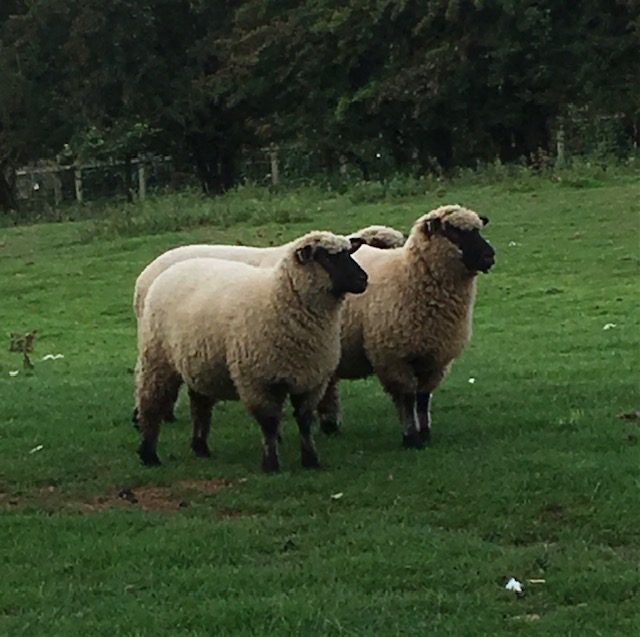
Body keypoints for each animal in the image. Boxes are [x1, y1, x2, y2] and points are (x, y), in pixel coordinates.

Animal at [135, 231, 368, 471]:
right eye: (328, 257)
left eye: (348, 253)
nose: (363, 279)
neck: (278, 299)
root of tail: (168, 271)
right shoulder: (257, 379)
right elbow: (269, 423)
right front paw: (271, 464)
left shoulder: (311, 379)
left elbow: (304, 421)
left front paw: (310, 460)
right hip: (157, 357)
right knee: (150, 402)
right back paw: (148, 454)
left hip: (199, 360)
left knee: (200, 404)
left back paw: (200, 447)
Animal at [316, 205, 495, 448]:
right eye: (454, 231)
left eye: (478, 229)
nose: (489, 255)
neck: (408, 277)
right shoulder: (394, 357)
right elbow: (408, 398)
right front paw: (411, 437)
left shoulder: (435, 358)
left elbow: (423, 398)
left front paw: (425, 433)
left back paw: (330, 425)